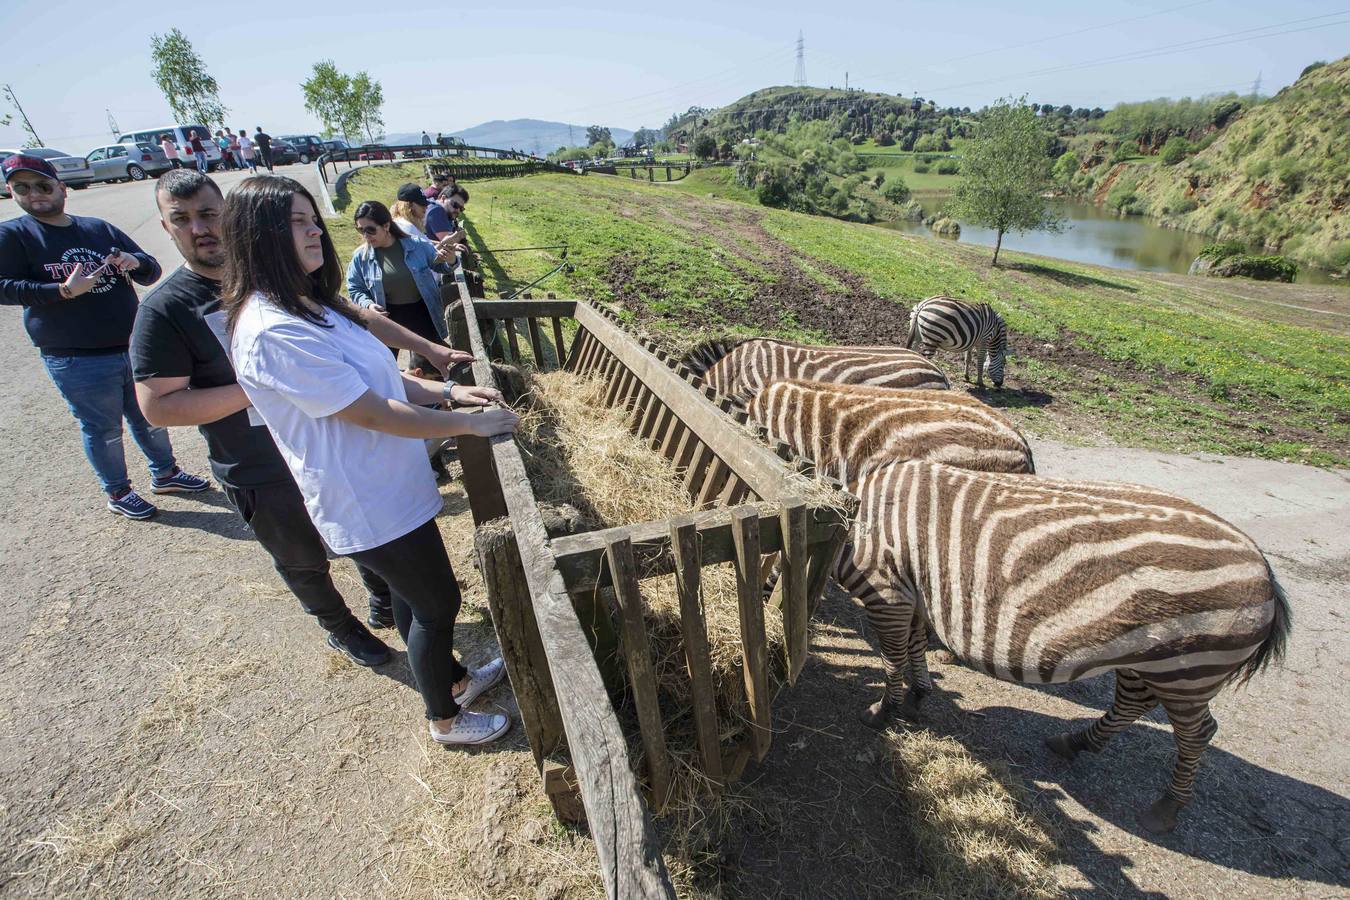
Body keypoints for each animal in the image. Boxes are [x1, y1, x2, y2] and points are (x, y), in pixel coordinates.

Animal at [837, 461, 1290, 836]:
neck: (852, 522)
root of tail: (1264, 567)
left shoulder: (888, 591)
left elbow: (893, 656)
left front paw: (884, 711)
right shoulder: (911, 592)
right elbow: (914, 647)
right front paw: (918, 695)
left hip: (1186, 668)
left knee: (1197, 733)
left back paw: (1165, 809)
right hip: (1149, 658)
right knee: (1134, 704)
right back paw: (1076, 742)